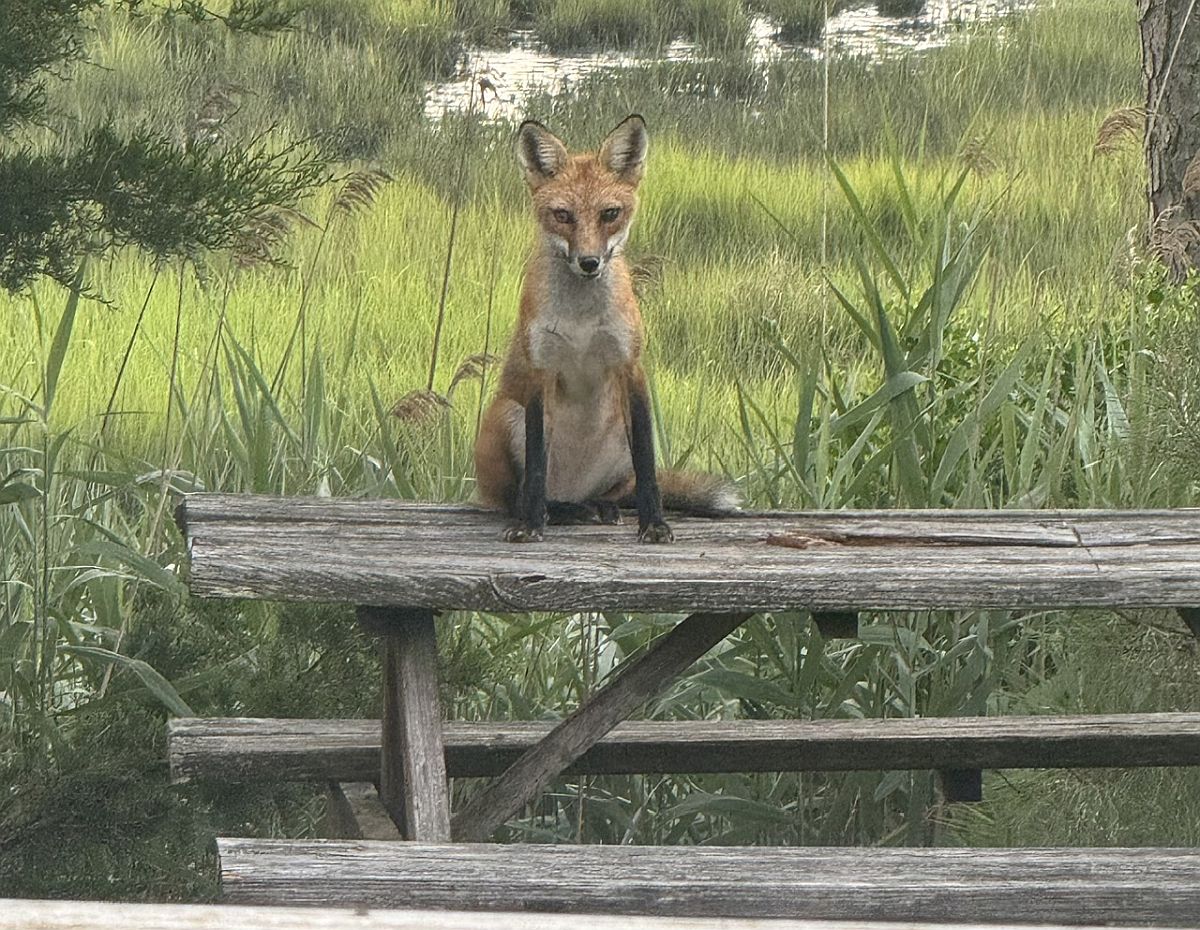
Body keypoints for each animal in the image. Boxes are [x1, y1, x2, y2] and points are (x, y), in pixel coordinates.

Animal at [473, 114, 739, 543]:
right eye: (563, 215)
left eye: (610, 213)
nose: (589, 262)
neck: (581, 321)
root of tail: (573, 488)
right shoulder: (540, 372)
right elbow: (535, 469)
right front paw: (530, 526)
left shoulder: (629, 367)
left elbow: (648, 468)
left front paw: (654, 524)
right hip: (507, 414)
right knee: (522, 495)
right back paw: (557, 512)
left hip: (617, 435)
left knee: (615, 492)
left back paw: (597, 507)